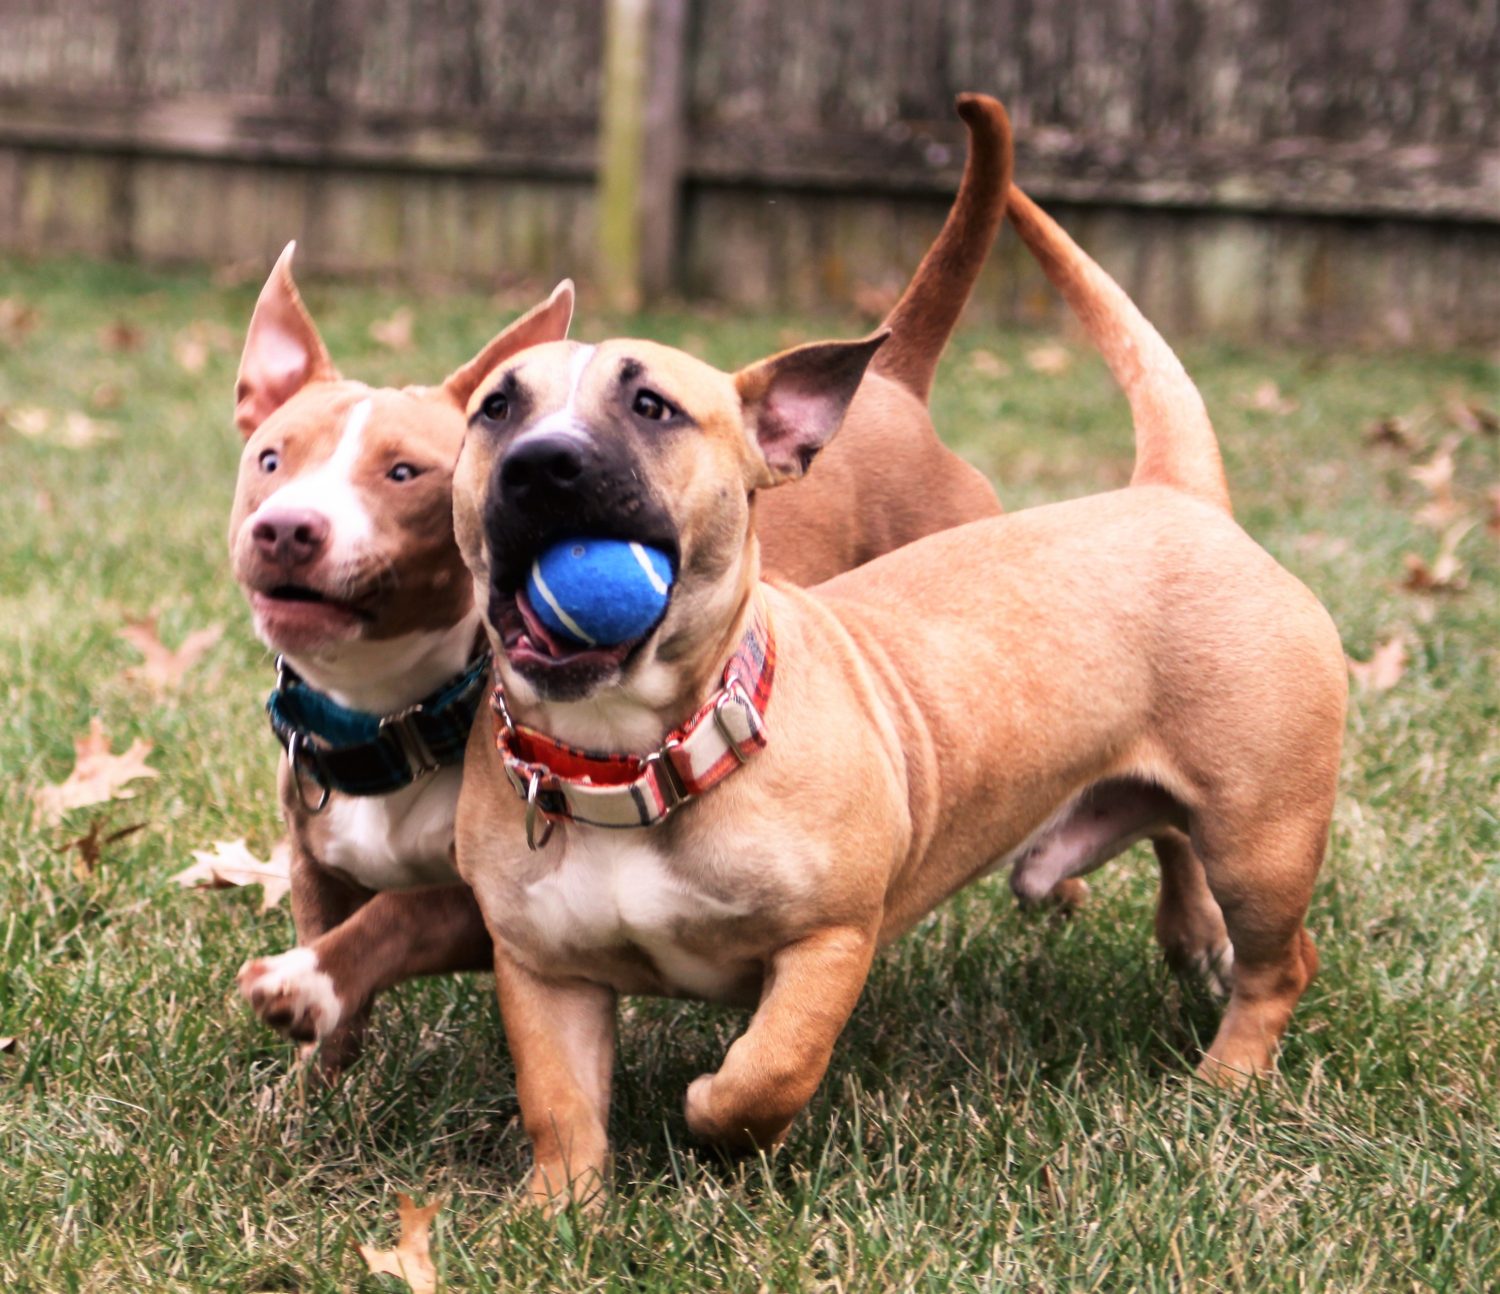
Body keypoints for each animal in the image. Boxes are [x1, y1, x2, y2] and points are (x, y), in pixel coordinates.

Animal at [228, 93, 1014, 1073]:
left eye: (404, 473)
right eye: (270, 458)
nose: (288, 528)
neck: (393, 712)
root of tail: (894, 386)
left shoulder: (489, 911)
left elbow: (401, 916)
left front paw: (313, 985)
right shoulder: (318, 863)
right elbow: (337, 959)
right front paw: (317, 1069)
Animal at [447, 187, 1350, 1211]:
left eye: (652, 407)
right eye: (495, 409)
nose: (538, 462)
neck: (632, 759)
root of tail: (1179, 496)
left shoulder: (830, 940)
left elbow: (771, 1071)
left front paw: (714, 1108)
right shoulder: (543, 973)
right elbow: (560, 1105)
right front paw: (559, 1210)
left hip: (1262, 841)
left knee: (1279, 962)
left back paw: (1227, 1077)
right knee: (1171, 834)